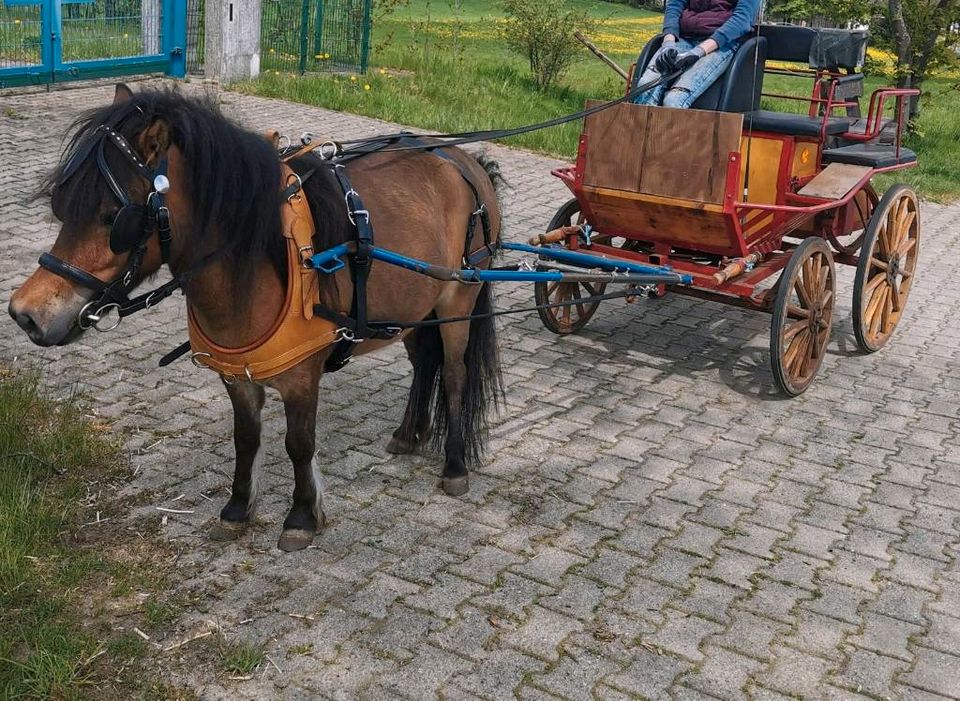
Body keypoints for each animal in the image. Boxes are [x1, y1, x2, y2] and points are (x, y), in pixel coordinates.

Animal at [11, 85, 506, 548]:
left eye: (113, 217)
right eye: (61, 203)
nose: (26, 314)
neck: (259, 262)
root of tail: (468, 161)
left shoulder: (303, 375)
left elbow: (299, 444)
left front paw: (302, 516)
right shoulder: (237, 376)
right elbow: (246, 438)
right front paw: (236, 509)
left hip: (457, 303)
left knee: (455, 374)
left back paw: (454, 466)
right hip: (415, 308)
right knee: (425, 362)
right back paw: (409, 434)